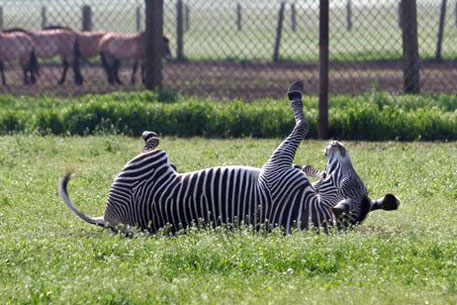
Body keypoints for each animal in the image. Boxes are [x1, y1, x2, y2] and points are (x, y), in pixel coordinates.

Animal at [59, 81, 400, 233]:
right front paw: (310, 166)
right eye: (351, 179)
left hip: (149, 162)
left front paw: (295, 94)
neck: (310, 210)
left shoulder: (275, 166)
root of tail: (108, 219)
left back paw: (148, 135)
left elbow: (301, 125)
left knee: (153, 145)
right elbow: (305, 155)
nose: (337, 144)